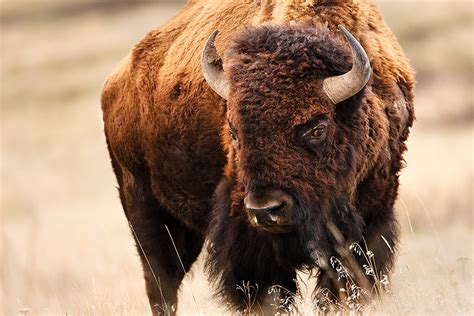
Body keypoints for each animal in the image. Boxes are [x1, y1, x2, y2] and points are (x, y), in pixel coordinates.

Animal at [101, 0, 414, 314]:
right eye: (234, 131)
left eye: (317, 128)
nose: (265, 210)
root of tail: (115, 81)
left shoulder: (372, 217)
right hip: (145, 210)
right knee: (161, 282)